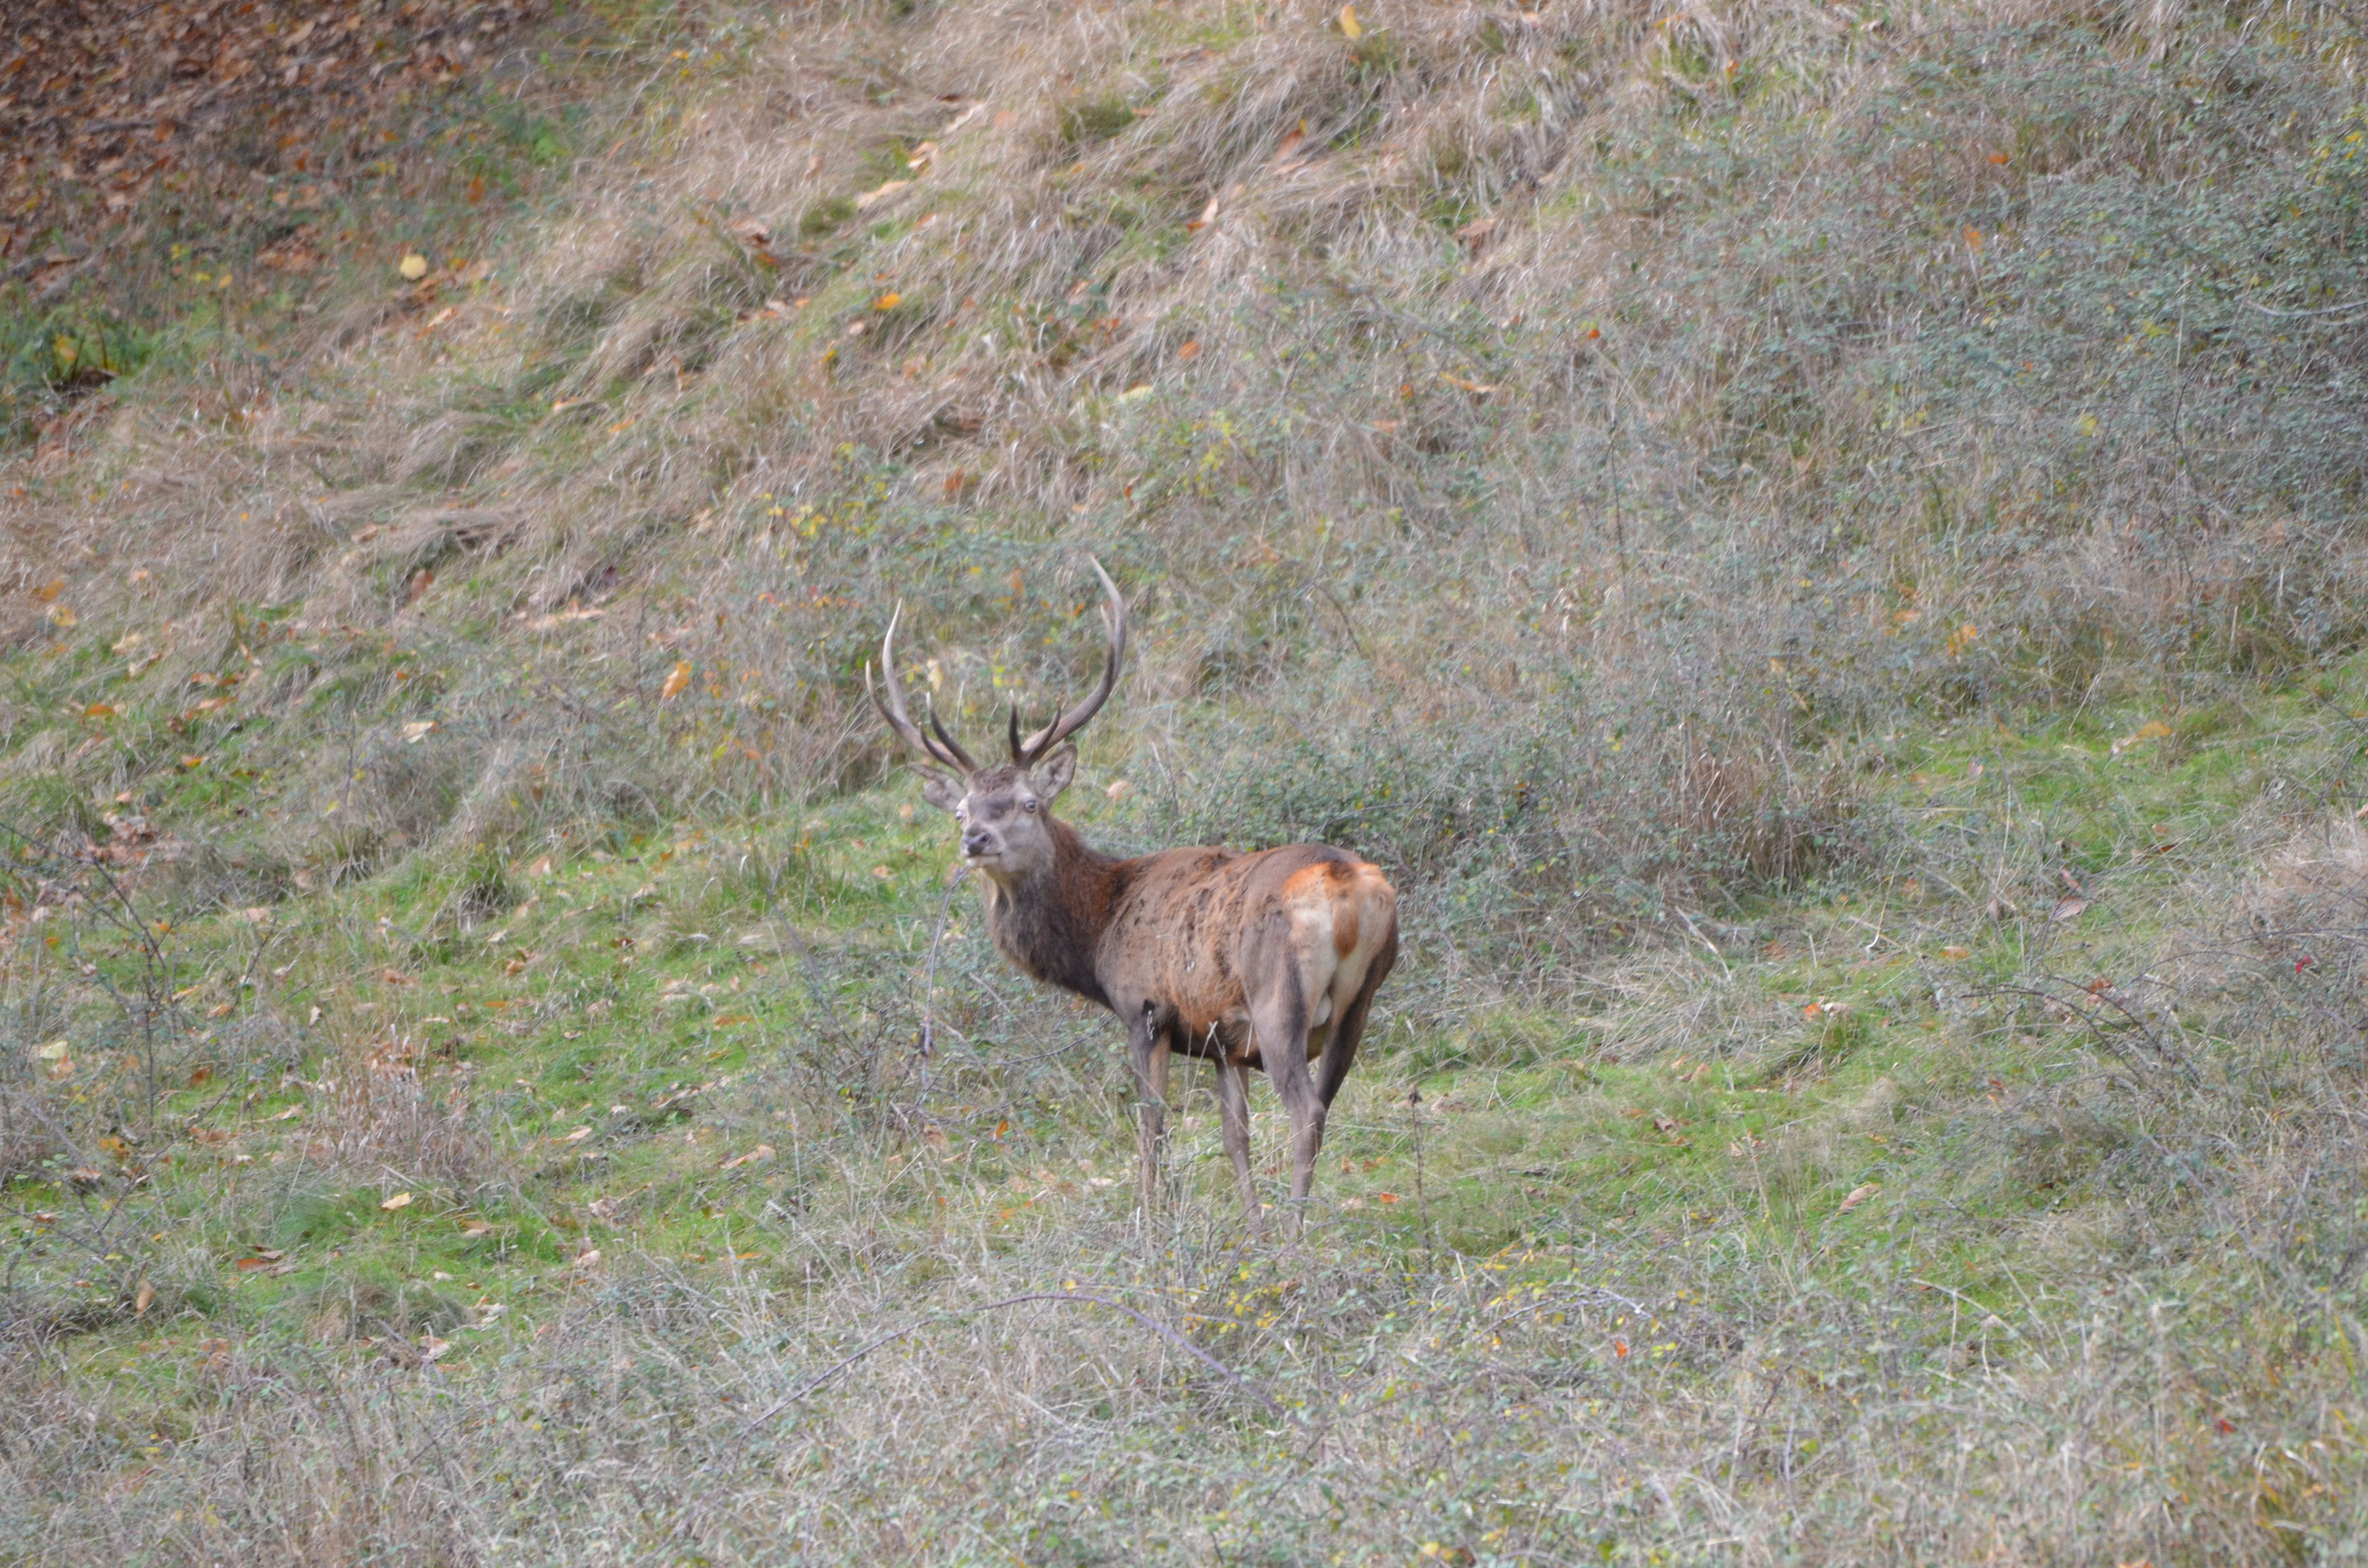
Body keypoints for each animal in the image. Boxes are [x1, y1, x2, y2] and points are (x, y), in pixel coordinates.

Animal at [868, 562, 1397, 1231]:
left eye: (1029, 803)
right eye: (962, 808)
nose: (975, 839)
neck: (1100, 931)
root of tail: (1348, 886)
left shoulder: (1146, 1010)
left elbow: (1152, 1131)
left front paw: (1150, 1226)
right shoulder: (1221, 1040)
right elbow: (1234, 1135)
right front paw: (1249, 1227)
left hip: (1280, 996)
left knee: (1307, 1111)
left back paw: (1295, 1234)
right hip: (1362, 1002)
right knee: (1326, 1102)